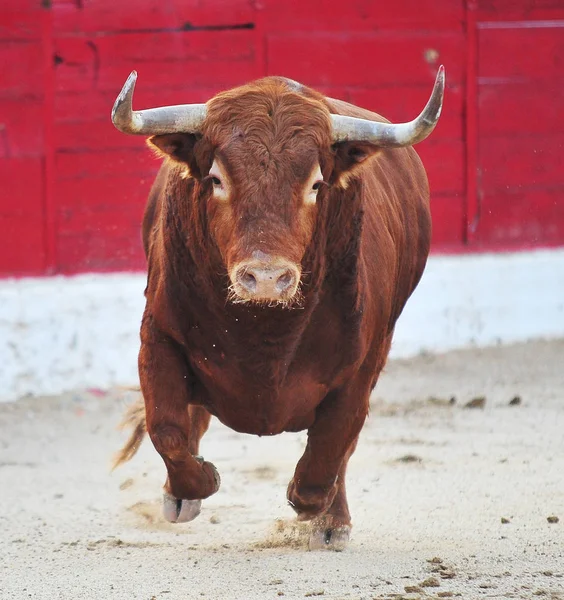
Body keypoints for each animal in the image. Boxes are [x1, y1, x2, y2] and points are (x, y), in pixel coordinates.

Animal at [111, 68, 446, 552]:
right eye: (216, 179)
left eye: (316, 184)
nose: (267, 277)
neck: (263, 332)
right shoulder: (157, 336)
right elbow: (168, 429)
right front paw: (194, 485)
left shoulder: (363, 362)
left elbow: (332, 444)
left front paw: (315, 508)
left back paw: (331, 520)